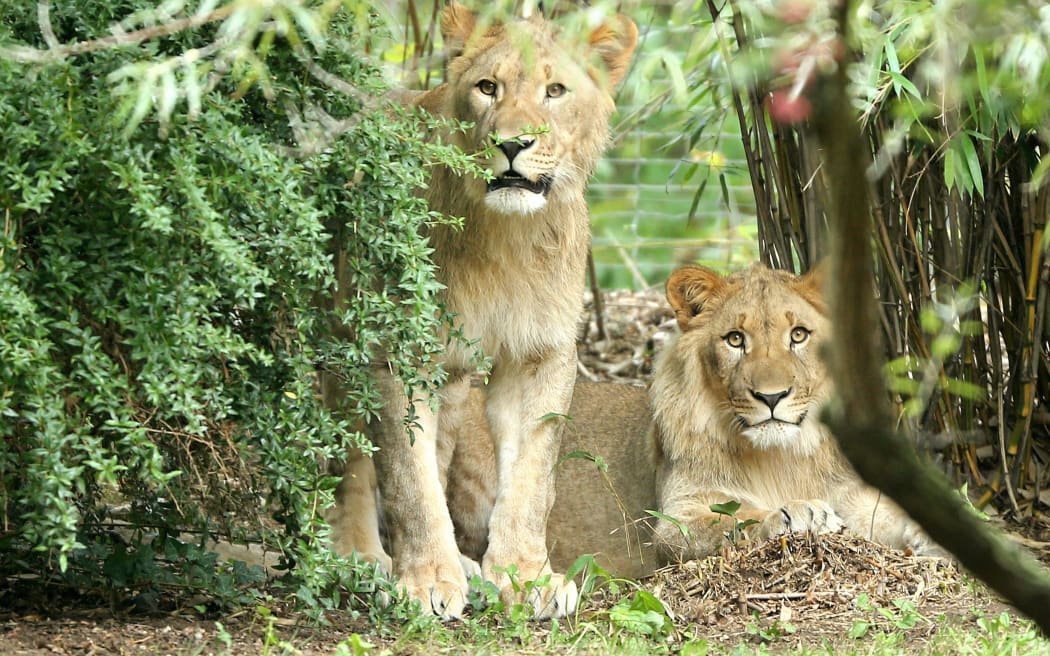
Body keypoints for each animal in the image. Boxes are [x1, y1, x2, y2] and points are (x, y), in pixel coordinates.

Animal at [325, 2, 637, 620]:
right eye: (488, 87)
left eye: (555, 91)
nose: (513, 144)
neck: (507, 237)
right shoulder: (400, 352)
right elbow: (407, 475)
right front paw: (425, 581)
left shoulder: (540, 354)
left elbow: (531, 478)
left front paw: (526, 577)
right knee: (349, 456)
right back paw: (360, 557)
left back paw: (463, 565)